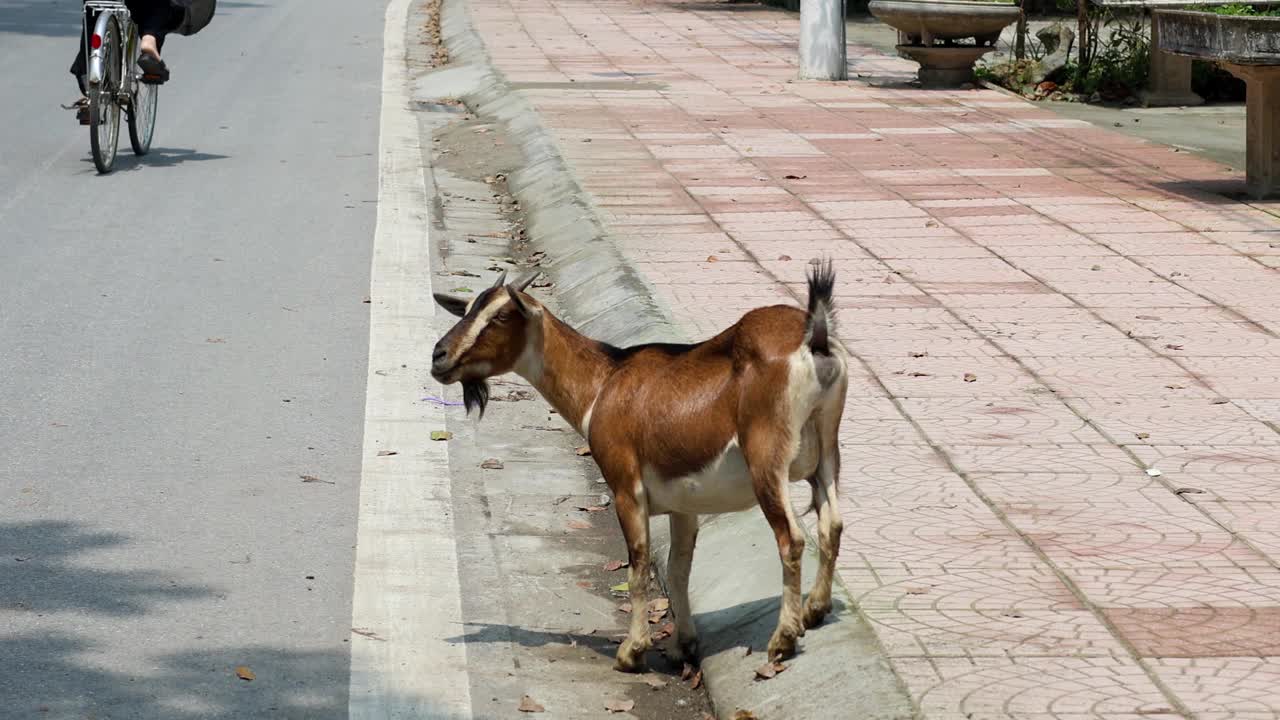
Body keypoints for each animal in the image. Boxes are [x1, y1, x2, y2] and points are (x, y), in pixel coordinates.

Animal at [432, 260, 849, 671]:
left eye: (501, 315)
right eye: (466, 309)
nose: (439, 355)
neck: (603, 382)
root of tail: (814, 336)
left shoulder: (625, 487)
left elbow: (638, 567)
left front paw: (631, 652)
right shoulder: (684, 504)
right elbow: (678, 569)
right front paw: (683, 645)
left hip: (767, 456)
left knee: (791, 538)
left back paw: (783, 639)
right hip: (827, 451)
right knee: (832, 523)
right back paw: (815, 609)